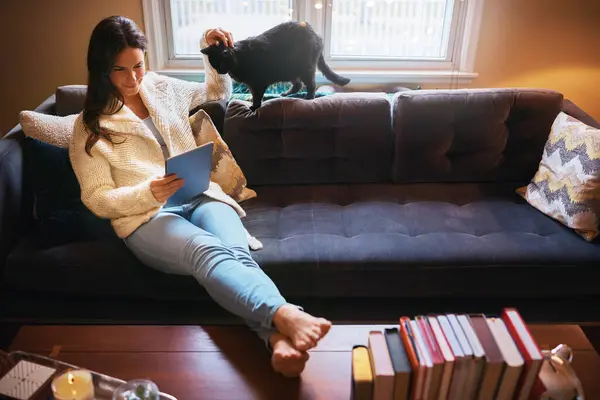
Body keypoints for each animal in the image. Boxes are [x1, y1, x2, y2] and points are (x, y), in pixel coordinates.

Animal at [202, 21, 352, 110]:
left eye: (221, 63)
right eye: (214, 65)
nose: (219, 71)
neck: (239, 60)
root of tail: (317, 35)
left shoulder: (257, 83)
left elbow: (257, 96)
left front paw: (254, 107)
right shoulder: (252, 84)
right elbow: (254, 94)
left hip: (305, 68)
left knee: (311, 85)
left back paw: (309, 98)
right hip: (290, 70)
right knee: (298, 85)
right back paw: (285, 94)